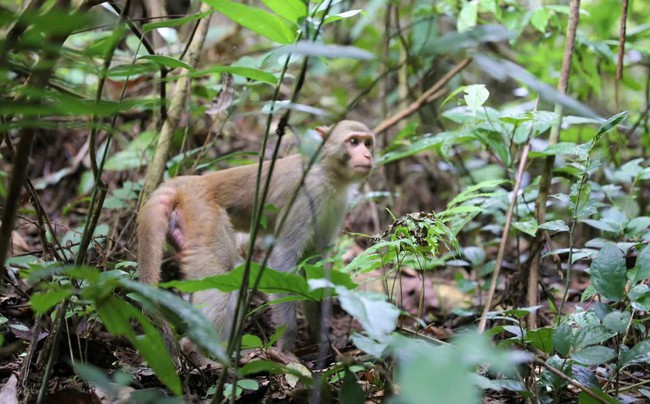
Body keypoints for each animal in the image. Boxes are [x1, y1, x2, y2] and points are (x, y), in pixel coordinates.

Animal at [137, 120, 374, 354]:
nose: (368, 155)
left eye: (368, 143)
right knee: (221, 272)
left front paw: (320, 336)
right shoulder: (311, 194)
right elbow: (282, 257)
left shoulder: (336, 205)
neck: (327, 170)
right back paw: (203, 350)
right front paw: (287, 347)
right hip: (202, 212)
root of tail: (191, 181)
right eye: (353, 142)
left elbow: (314, 261)